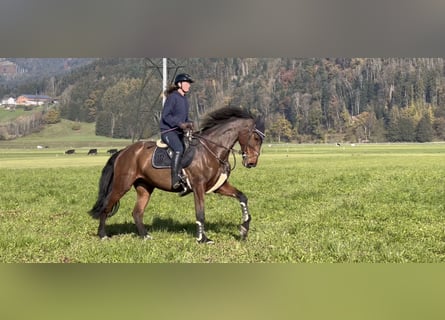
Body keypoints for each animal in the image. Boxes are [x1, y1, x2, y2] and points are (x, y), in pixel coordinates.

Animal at [88, 106, 266, 244]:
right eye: (256, 138)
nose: (252, 163)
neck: (212, 150)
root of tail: (124, 151)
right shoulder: (198, 186)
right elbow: (200, 213)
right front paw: (203, 239)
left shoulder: (219, 186)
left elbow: (242, 197)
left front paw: (244, 228)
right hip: (122, 185)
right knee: (106, 206)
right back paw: (103, 235)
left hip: (145, 187)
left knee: (137, 212)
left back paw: (145, 236)